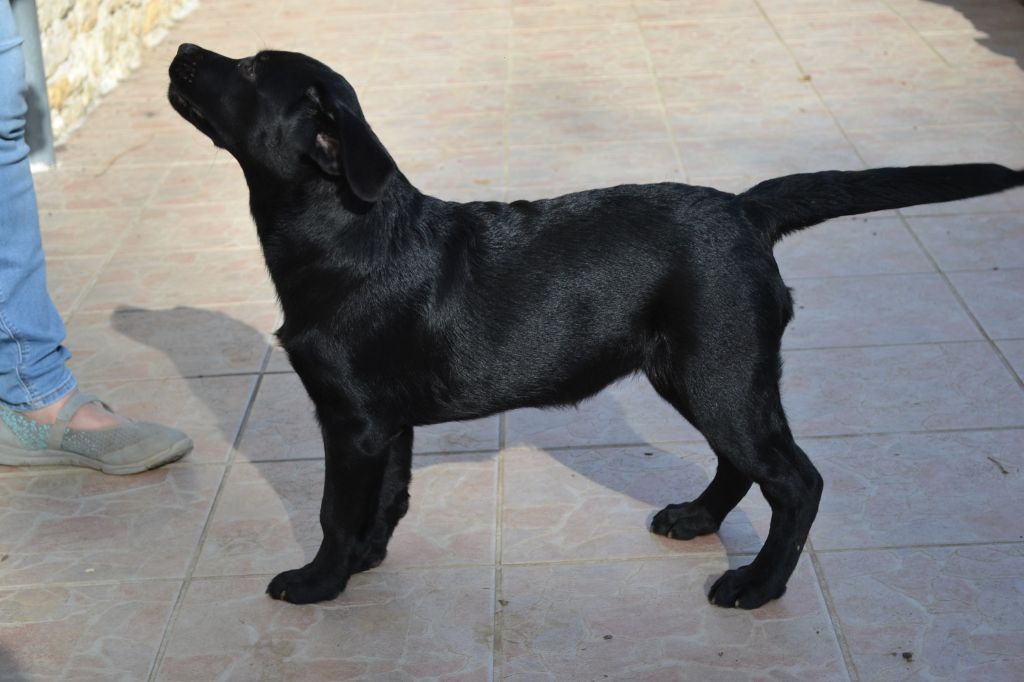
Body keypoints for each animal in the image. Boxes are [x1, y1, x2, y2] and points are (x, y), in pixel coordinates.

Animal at [169, 43, 1024, 606]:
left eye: (251, 70)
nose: (180, 50)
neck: (343, 233)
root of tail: (745, 209)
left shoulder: (349, 421)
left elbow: (334, 507)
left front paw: (318, 581)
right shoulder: (384, 422)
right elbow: (387, 497)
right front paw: (365, 561)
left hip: (717, 372)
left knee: (796, 480)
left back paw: (758, 585)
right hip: (708, 373)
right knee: (747, 463)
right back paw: (697, 518)